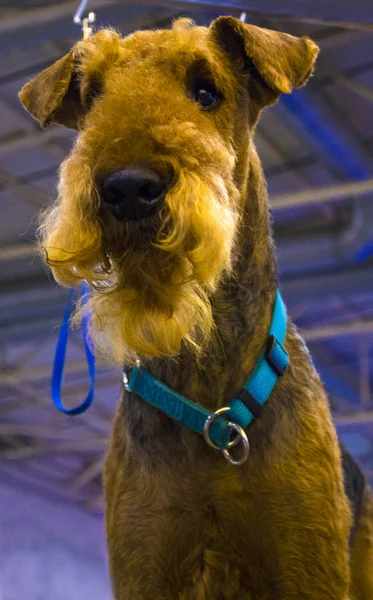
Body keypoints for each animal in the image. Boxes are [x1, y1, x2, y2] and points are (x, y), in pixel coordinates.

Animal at [19, 16, 372, 596]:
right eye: (92, 97)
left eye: (206, 91)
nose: (129, 187)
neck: (209, 400)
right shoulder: (144, 564)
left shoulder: (307, 565)